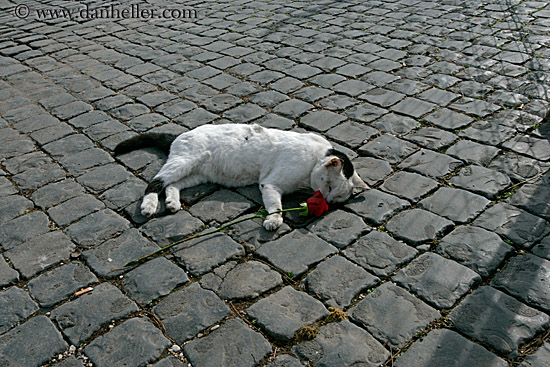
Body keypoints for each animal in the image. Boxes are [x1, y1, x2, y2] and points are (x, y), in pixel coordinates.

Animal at [114, 125, 368, 231]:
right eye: (329, 185)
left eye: (336, 199)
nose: (326, 201)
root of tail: (180, 134)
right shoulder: (270, 184)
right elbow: (276, 206)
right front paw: (274, 221)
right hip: (185, 161)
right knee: (155, 182)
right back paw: (149, 206)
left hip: (196, 174)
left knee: (171, 185)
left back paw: (172, 203)